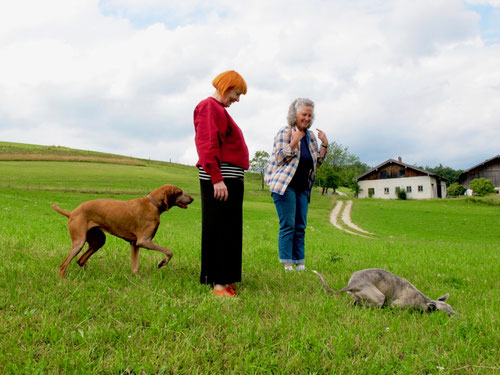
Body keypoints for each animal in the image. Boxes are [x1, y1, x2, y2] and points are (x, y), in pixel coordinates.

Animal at [51, 184, 193, 278]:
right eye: (180, 192)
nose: (192, 199)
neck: (153, 204)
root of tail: (72, 212)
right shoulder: (144, 241)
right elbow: (169, 251)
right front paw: (162, 263)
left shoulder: (134, 244)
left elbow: (135, 268)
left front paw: (138, 279)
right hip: (79, 242)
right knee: (63, 266)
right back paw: (63, 281)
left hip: (98, 241)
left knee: (80, 260)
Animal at [314, 268, 456, 316]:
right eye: (448, 314)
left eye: (452, 309)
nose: (459, 317)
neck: (423, 299)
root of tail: (352, 284)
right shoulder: (398, 304)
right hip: (378, 296)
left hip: (360, 297)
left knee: (355, 304)